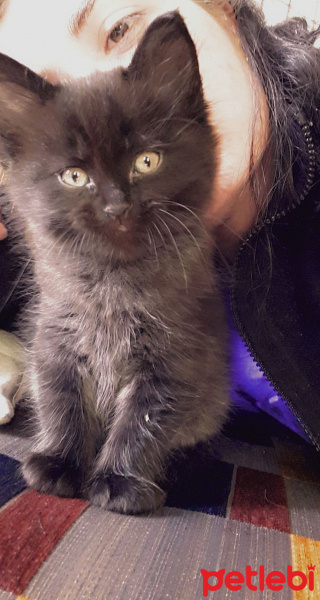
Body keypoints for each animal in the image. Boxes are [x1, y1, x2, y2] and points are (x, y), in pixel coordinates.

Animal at [0, 11, 230, 512]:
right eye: (74, 176)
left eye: (146, 161)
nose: (116, 205)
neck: (113, 282)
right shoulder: (55, 337)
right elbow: (62, 402)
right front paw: (60, 464)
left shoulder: (175, 356)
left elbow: (143, 420)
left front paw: (121, 481)